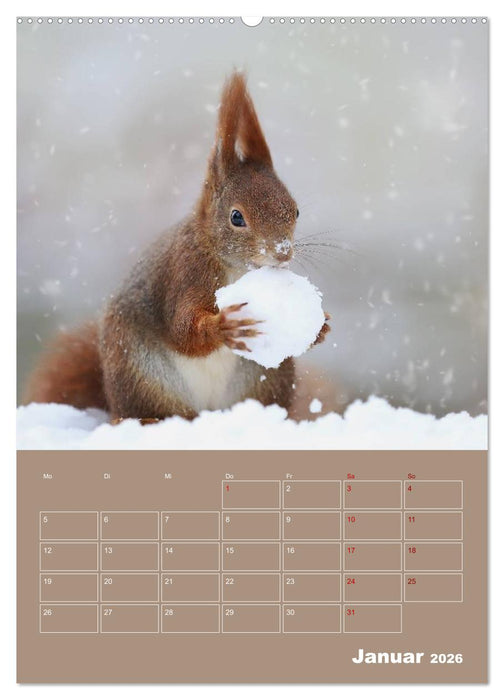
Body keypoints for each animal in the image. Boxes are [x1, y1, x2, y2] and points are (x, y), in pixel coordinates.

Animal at [25, 72, 330, 421]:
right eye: (236, 217)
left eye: (296, 211)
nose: (282, 252)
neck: (232, 265)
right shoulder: (184, 275)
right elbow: (183, 329)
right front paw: (221, 326)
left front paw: (320, 329)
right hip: (141, 373)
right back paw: (144, 420)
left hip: (264, 379)